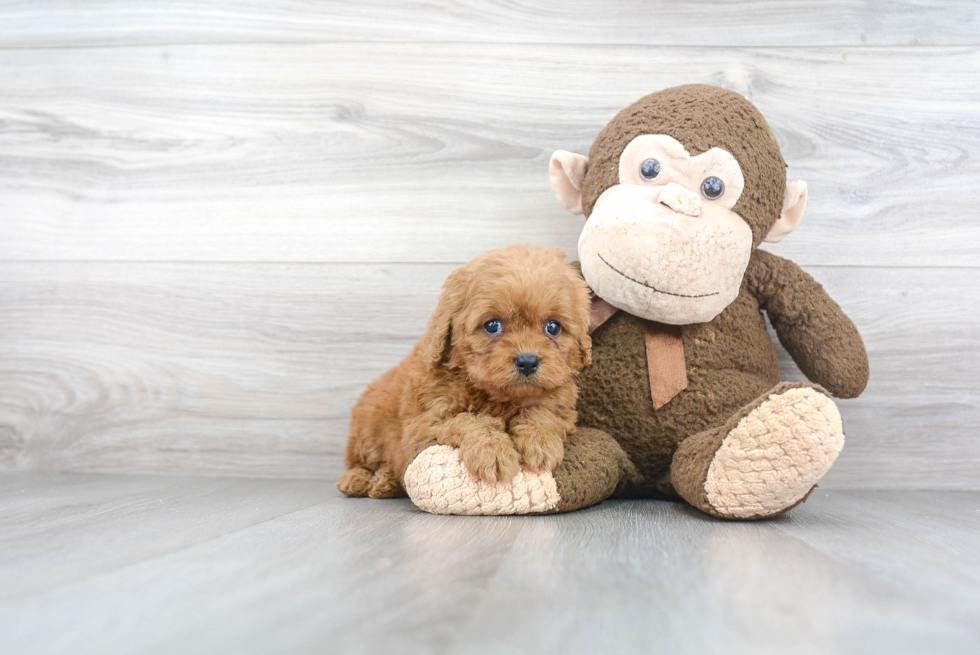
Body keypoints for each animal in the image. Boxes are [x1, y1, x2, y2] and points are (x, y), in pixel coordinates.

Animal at [340, 245, 592, 498]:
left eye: (553, 327)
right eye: (492, 325)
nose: (528, 361)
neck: (499, 398)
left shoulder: (562, 407)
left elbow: (542, 412)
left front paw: (539, 442)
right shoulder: (425, 423)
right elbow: (468, 420)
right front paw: (493, 452)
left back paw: (385, 481)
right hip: (366, 430)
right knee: (357, 462)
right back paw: (361, 480)